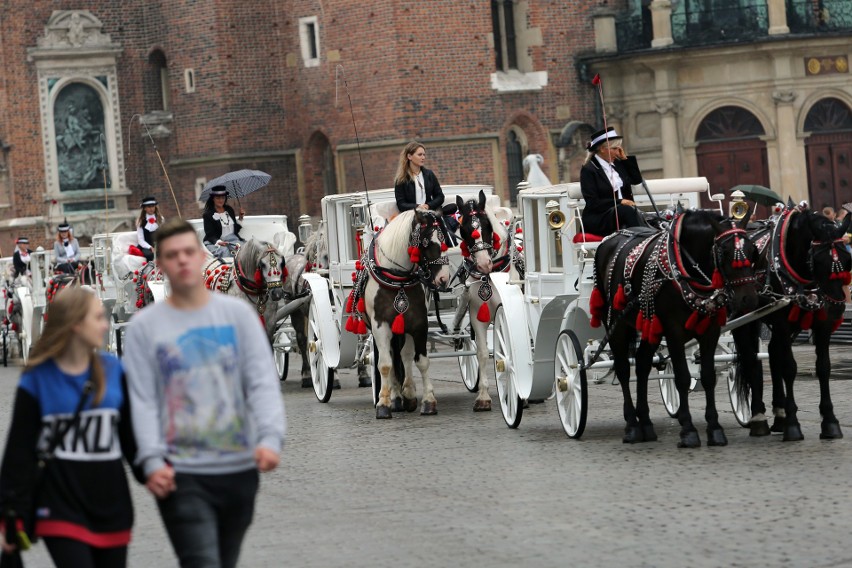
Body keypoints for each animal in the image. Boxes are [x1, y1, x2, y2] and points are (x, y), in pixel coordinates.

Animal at [592, 209, 760, 448]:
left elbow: (708, 377)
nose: (749, 299)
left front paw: (715, 429)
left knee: (642, 364)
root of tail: (609, 239)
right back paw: (632, 426)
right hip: (616, 323)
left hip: (650, 325)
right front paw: (688, 431)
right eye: (725, 252)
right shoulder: (674, 331)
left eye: (753, 251)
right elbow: (682, 377)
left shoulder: (710, 331)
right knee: (623, 369)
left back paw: (646, 425)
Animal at [732, 206, 852, 442]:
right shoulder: (781, 321)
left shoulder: (822, 324)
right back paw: (759, 418)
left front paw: (830, 422)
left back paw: (779, 416)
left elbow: (823, 367)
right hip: (744, 318)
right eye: (818, 260)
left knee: (773, 354)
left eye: (846, 258)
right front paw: (793, 425)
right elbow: (789, 367)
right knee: (751, 359)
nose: (837, 309)